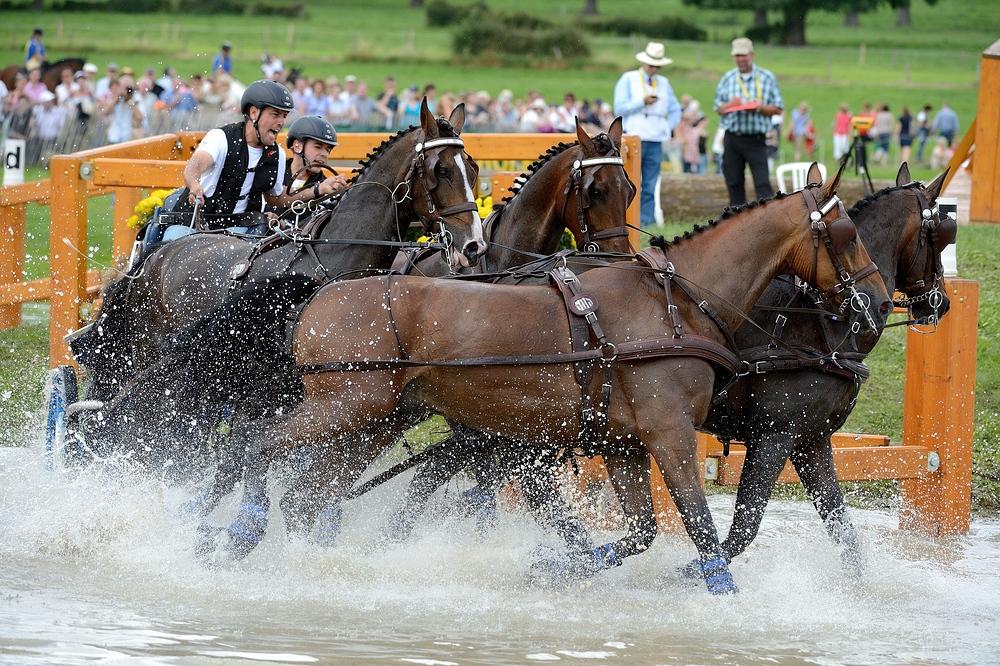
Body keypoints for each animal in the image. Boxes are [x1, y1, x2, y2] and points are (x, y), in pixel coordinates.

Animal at [180, 162, 892, 592]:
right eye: (846, 235)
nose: (880, 301)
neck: (675, 303)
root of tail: (318, 292)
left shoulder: (624, 443)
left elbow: (639, 533)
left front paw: (558, 564)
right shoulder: (670, 433)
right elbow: (703, 528)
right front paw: (715, 585)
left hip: (372, 416)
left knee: (309, 487)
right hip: (343, 405)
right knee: (259, 445)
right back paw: (239, 527)